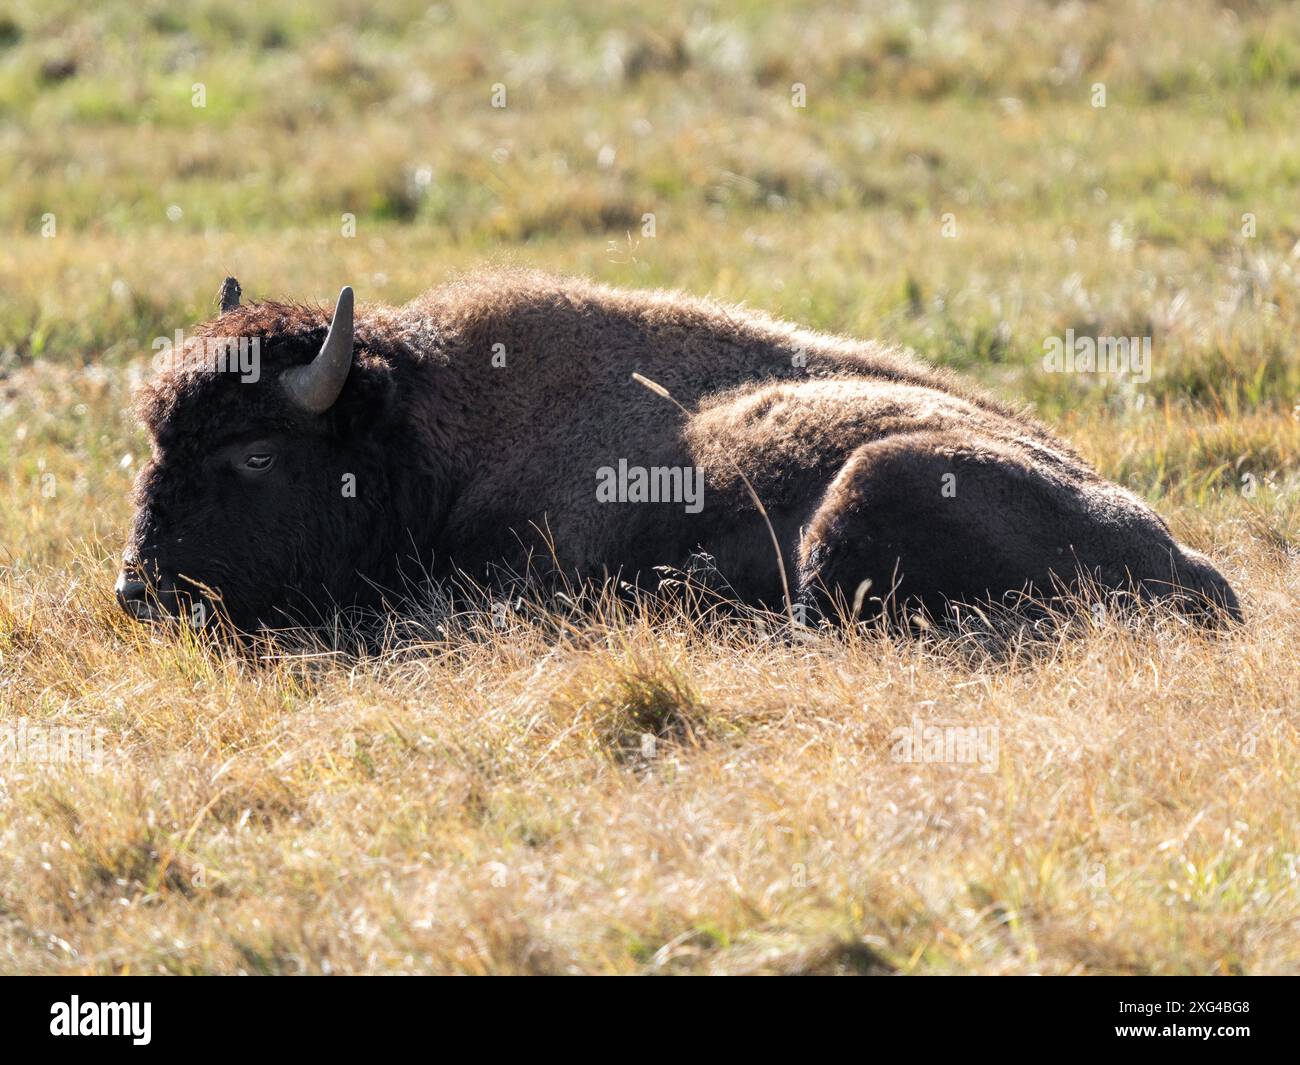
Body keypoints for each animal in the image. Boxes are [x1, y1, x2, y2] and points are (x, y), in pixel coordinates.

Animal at [114, 270, 1237, 631]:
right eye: (155, 442)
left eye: (257, 454)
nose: (134, 588)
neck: (433, 427)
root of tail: (1185, 561)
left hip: (873, 483)